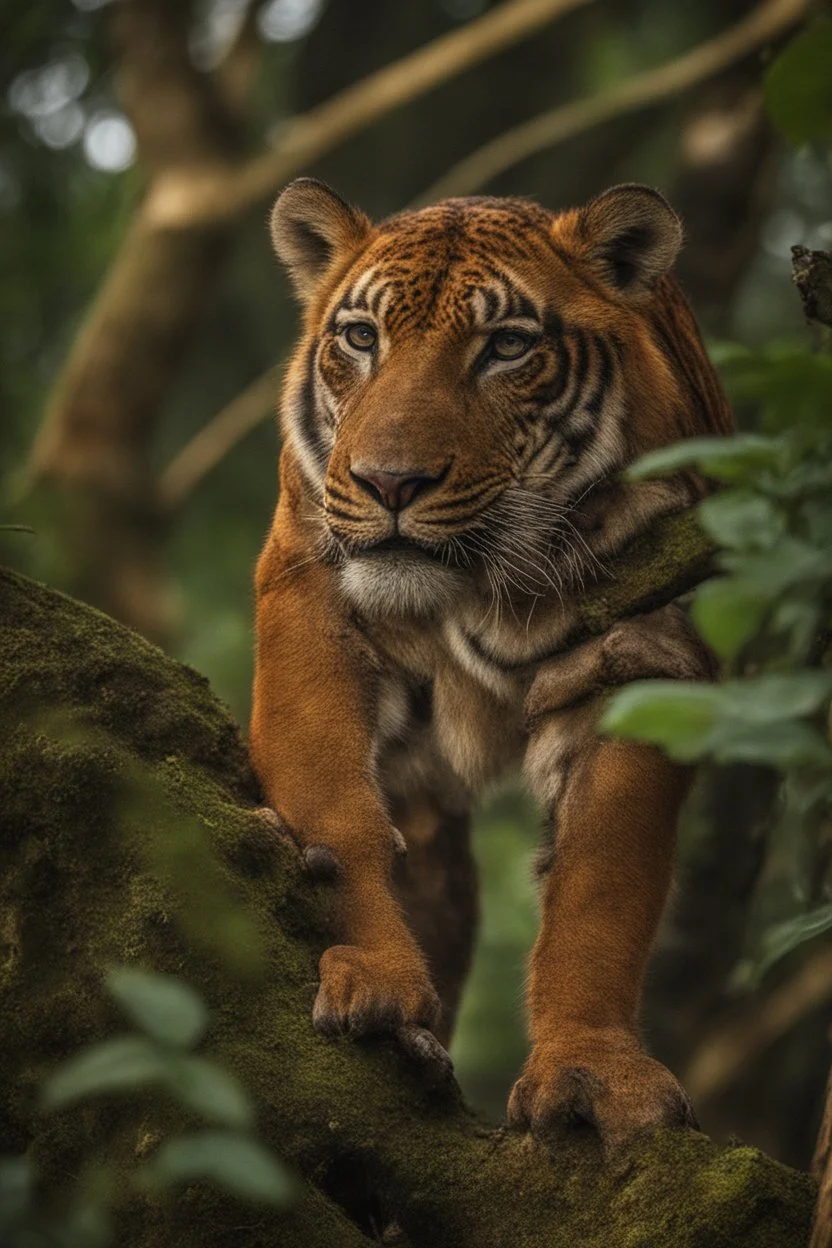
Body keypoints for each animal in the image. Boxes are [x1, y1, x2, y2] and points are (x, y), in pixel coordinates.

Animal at [250, 180, 733, 1153]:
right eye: (362, 338)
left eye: (506, 347)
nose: (390, 483)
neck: (485, 585)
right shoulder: (309, 589)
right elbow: (334, 812)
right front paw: (374, 982)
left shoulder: (643, 657)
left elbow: (601, 884)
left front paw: (593, 1076)